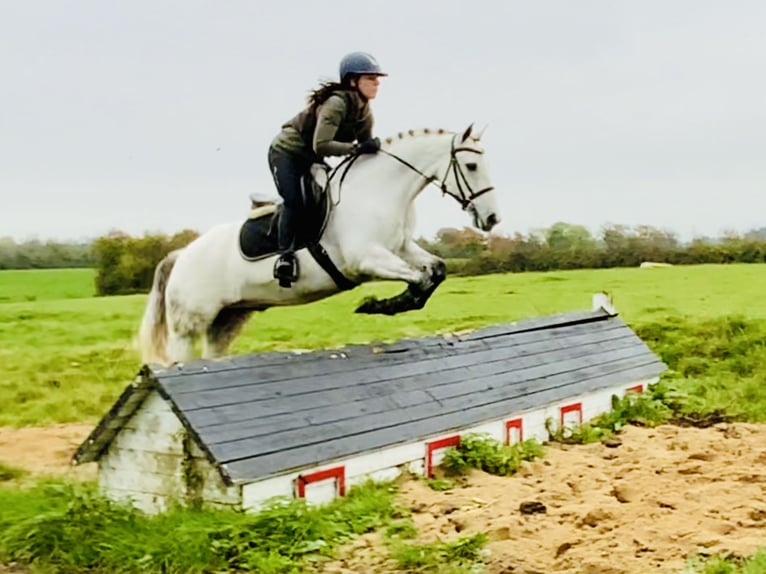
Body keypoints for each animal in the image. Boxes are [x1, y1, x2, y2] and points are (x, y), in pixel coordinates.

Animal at [139, 125, 504, 368]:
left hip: (227, 320)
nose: (492, 218)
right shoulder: (366, 259)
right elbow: (418, 279)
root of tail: (180, 255)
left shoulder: (400, 248)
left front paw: (390, 304)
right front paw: (378, 305)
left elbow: (436, 270)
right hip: (189, 324)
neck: (380, 190)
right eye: (471, 166)